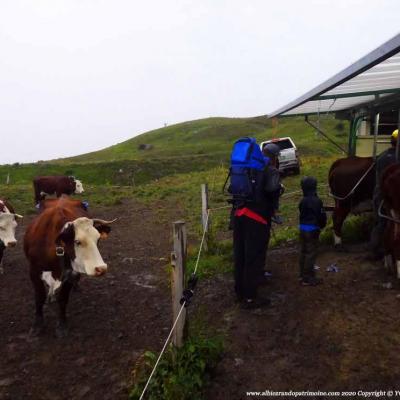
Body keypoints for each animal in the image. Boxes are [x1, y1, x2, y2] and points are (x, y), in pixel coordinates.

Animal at [23, 195, 115, 336]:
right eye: (77, 241)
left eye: (98, 239)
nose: (101, 268)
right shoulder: (33, 270)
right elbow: (39, 297)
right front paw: (37, 324)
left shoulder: (70, 273)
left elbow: (63, 298)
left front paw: (61, 325)